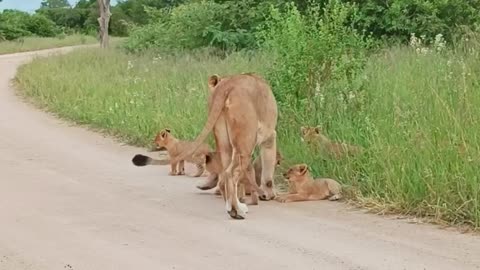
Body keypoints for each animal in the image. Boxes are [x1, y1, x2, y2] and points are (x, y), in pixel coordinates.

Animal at [172, 73, 278, 219]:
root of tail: (227, 86)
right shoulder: (269, 137)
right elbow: (268, 172)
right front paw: (269, 194)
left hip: (223, 141)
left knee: (224, 178)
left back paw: (232, 207)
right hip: (246, 143)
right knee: (230, 174)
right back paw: (236, 211)